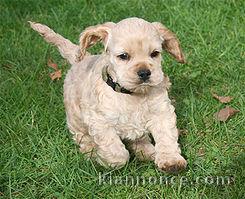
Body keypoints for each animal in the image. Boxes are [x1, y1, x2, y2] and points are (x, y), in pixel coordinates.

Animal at [30, 17, 188, 173]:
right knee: (82, 136)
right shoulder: (100, 122)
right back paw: (91, 152)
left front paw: (171, 160)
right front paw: (103, 160)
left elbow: (167, 136)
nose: (144, 73)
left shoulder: (162, 112)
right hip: (75, 116)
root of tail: (82, 59)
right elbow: (117, 153)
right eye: (123, 56)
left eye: (155, 53)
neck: (132, 95)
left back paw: (148, 151)